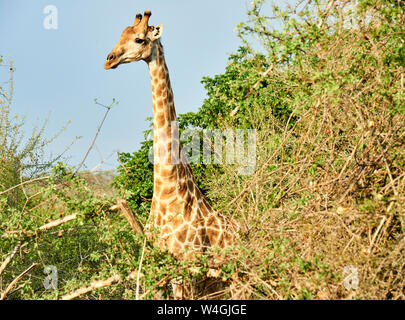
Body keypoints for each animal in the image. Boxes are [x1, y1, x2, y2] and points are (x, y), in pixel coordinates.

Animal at [104, 10, 237, 298]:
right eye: (120, 35)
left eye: (140, 39)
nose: (109, 60)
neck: (167, 191)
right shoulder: (155, 271)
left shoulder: (186, 271)